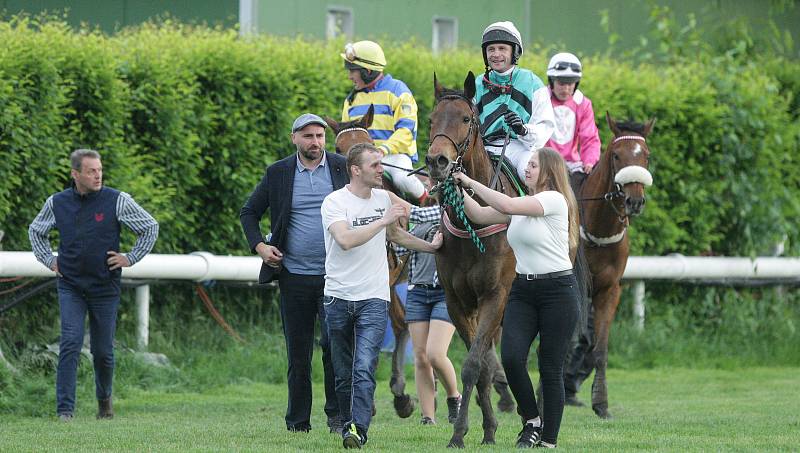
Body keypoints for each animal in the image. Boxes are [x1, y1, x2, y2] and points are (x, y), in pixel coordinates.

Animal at [424, 72, 520, 446]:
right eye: (431, 119)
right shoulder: (458, 301)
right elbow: (479, 366)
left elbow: (473, 365)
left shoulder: (496, 295)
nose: (437, 161)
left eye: (466, 118)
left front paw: (461, 431)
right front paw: (482, 429)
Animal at [576, 113, 656, 416]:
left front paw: (601, 403)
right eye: (616, 155)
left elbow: (599, 349)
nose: (634, 201)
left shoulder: (609, 290)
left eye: (646, 155)